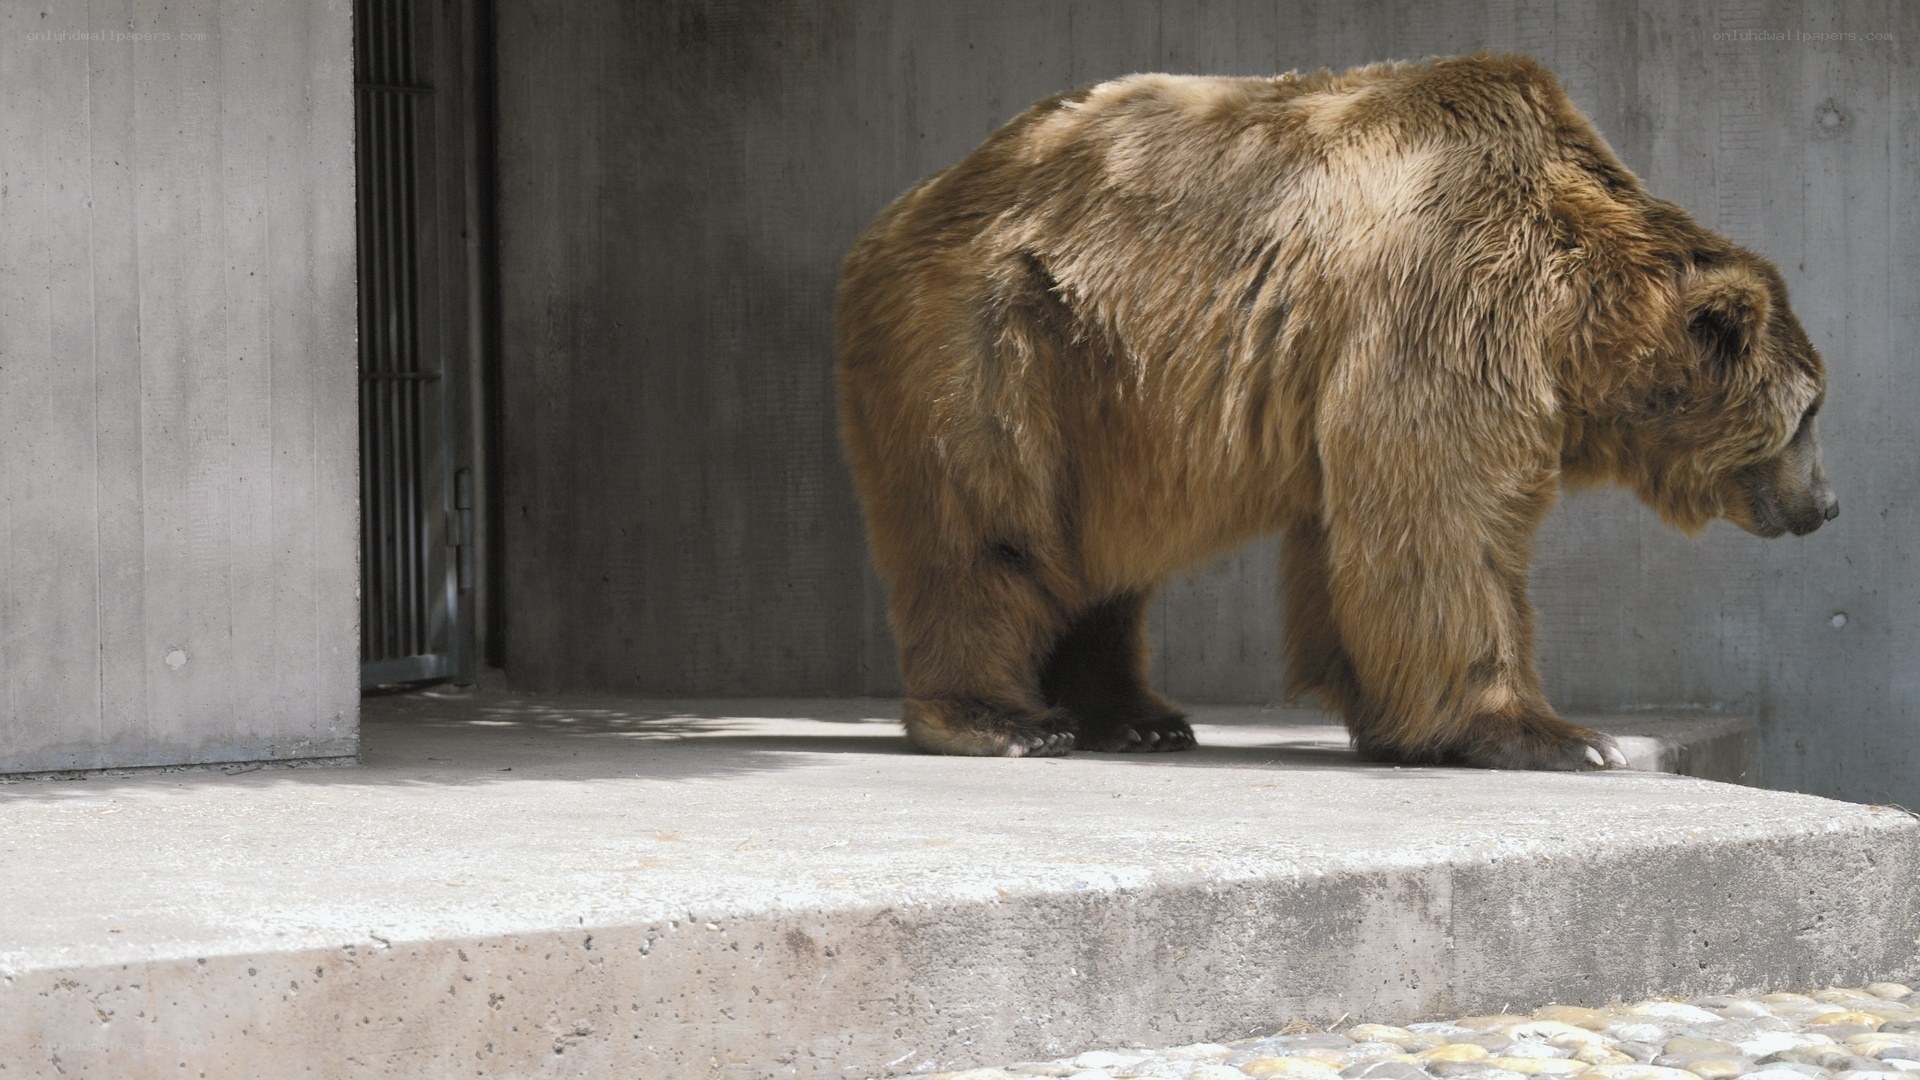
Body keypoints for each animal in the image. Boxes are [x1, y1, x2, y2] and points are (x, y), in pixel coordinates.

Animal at [834, 53, 1837, 770]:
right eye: (1813, 412)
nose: (1827, 505)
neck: (1572, 317)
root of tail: (910, 202)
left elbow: (1358, 542)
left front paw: (1396, 722)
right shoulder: (1452, 297)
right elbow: (1444, 519)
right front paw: (1558, 735)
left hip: (1105, 388)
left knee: (1098, 559)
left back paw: (1135, 717)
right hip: (993, 330)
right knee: (986, 520)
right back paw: (1004, 720)